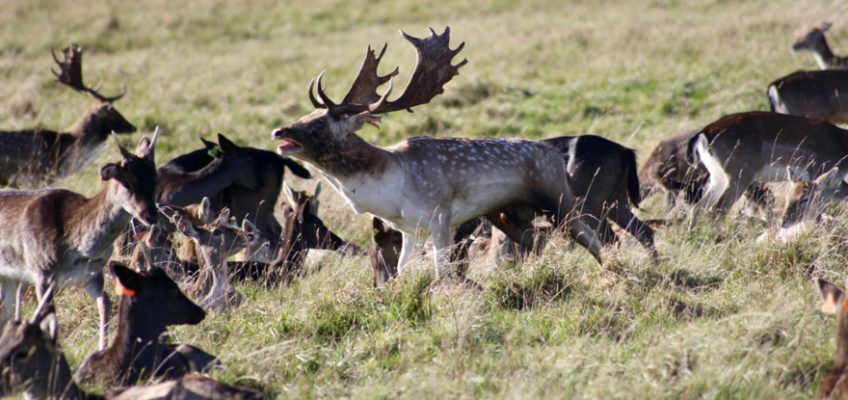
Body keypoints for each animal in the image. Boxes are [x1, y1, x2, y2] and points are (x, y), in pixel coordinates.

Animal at [0, 129, 159, 350]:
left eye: (155, 180)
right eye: (127, 183)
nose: (151, 215)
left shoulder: (91, 274)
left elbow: (105, 302)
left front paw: (102, 347)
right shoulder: (41, 271)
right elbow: (49, 316)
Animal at [272, 28, 604, 278]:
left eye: (319, 124)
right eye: (305, 115)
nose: (279, 132)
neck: (389, 189)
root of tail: (554, 155)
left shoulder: (441, 216)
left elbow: (441, 271)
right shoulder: (409, 229)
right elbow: (403, 270)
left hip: (557, 198)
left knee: (592, 238)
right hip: (505, 212)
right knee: (538, 240)